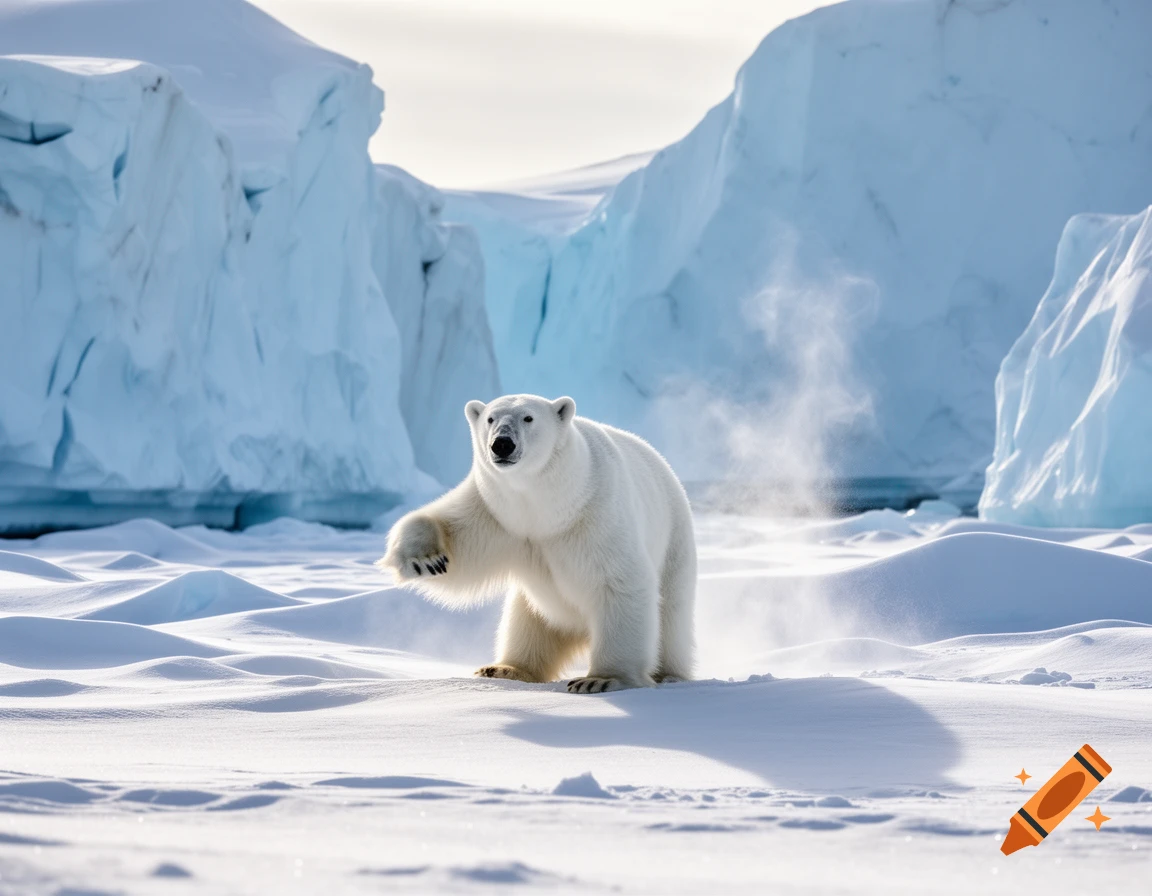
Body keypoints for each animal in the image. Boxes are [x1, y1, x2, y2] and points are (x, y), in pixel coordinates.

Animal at [377, 394, 696, 693]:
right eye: (491, 418)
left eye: (528, 417)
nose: (502, 444)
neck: (548, 506)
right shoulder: (498, 513)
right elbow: (458, 540)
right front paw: (425, 559)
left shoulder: (595, 513)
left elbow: (618, 582)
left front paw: (601, 679)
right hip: (534, 603)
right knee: (527, 623)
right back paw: (504, 668)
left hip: (675, 544)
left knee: (671, 616)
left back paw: (669, 674)